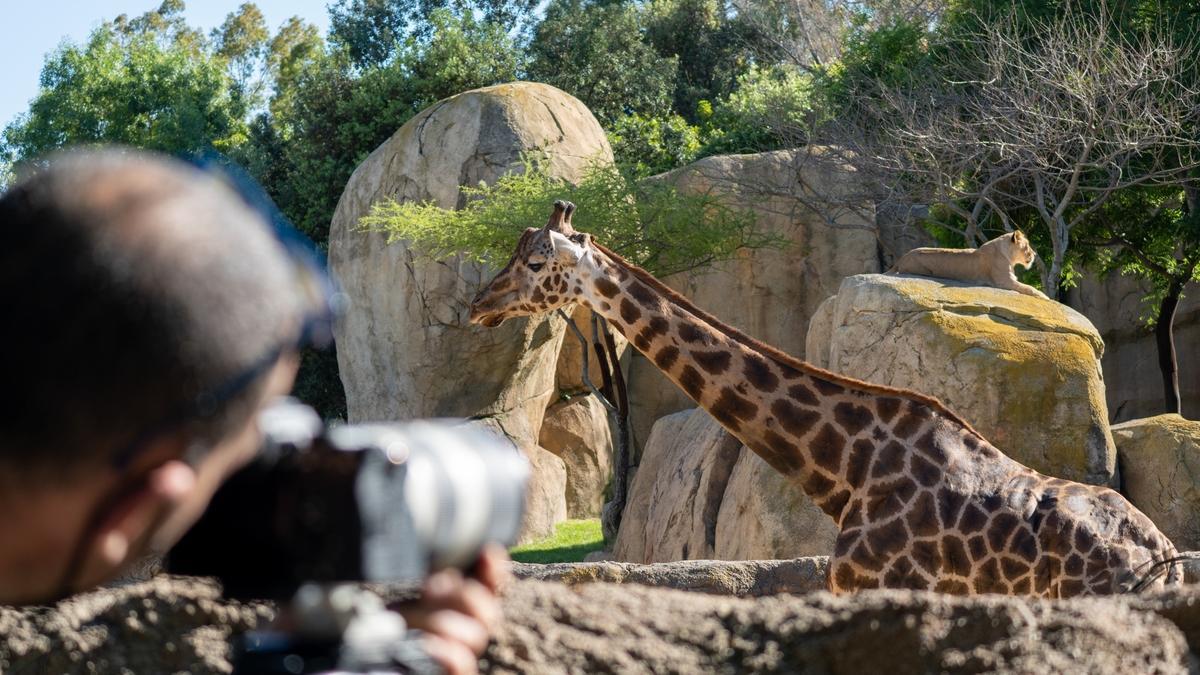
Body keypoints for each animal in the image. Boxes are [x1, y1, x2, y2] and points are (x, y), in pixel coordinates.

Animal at [892, 229, 1051, 297]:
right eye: (1027, 246)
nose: (1034, 254)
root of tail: (902, 257)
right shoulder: (1004, 281)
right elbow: (1029, 288)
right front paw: (1044, 296)